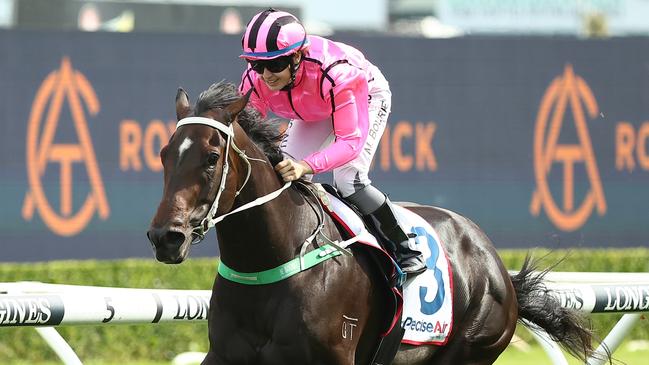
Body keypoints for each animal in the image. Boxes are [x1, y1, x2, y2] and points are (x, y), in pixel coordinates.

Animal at [149, 82, 596, 364]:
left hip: (470, 350)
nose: (165, 237)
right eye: (164, 153)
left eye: (211, 157)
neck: (269, 263)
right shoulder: (224, 355)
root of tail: (496, 264)